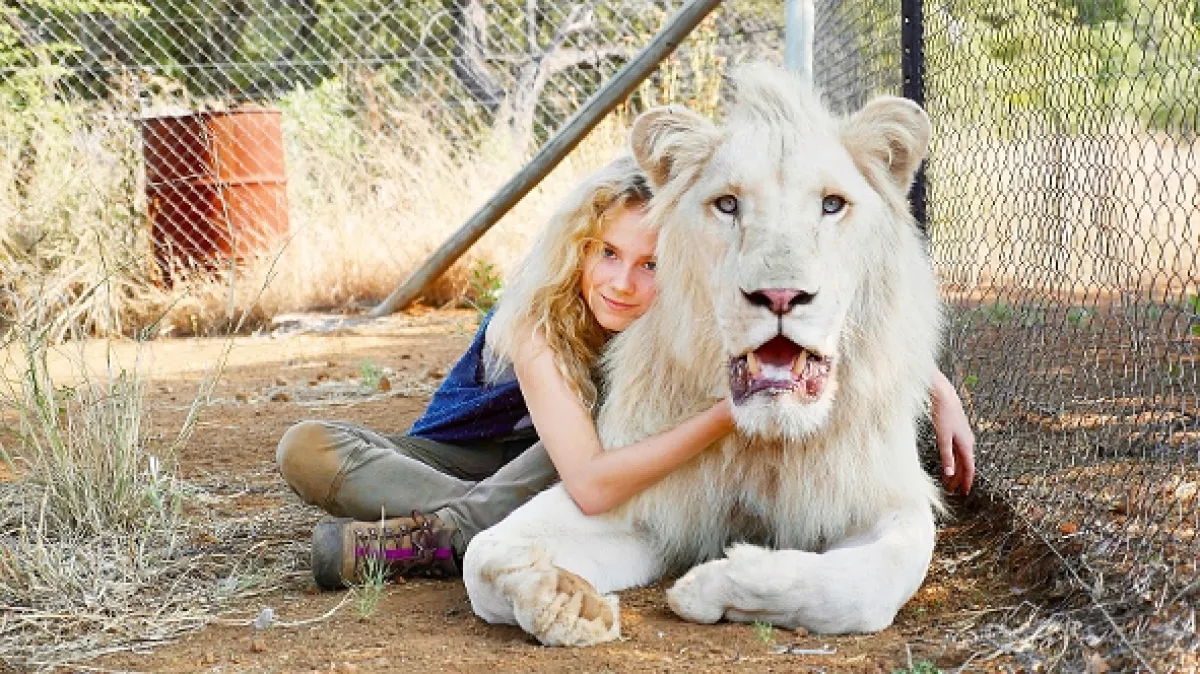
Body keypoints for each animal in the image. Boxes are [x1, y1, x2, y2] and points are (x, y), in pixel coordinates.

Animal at [462, 62, 945, 647]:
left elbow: (865, 586)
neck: (764, 442)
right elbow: (483, 554)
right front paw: (562, 598)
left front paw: (713, 584)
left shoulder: (885, 498)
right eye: (728, 204)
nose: (780, 295)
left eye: (832, 204)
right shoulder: (639, 496)